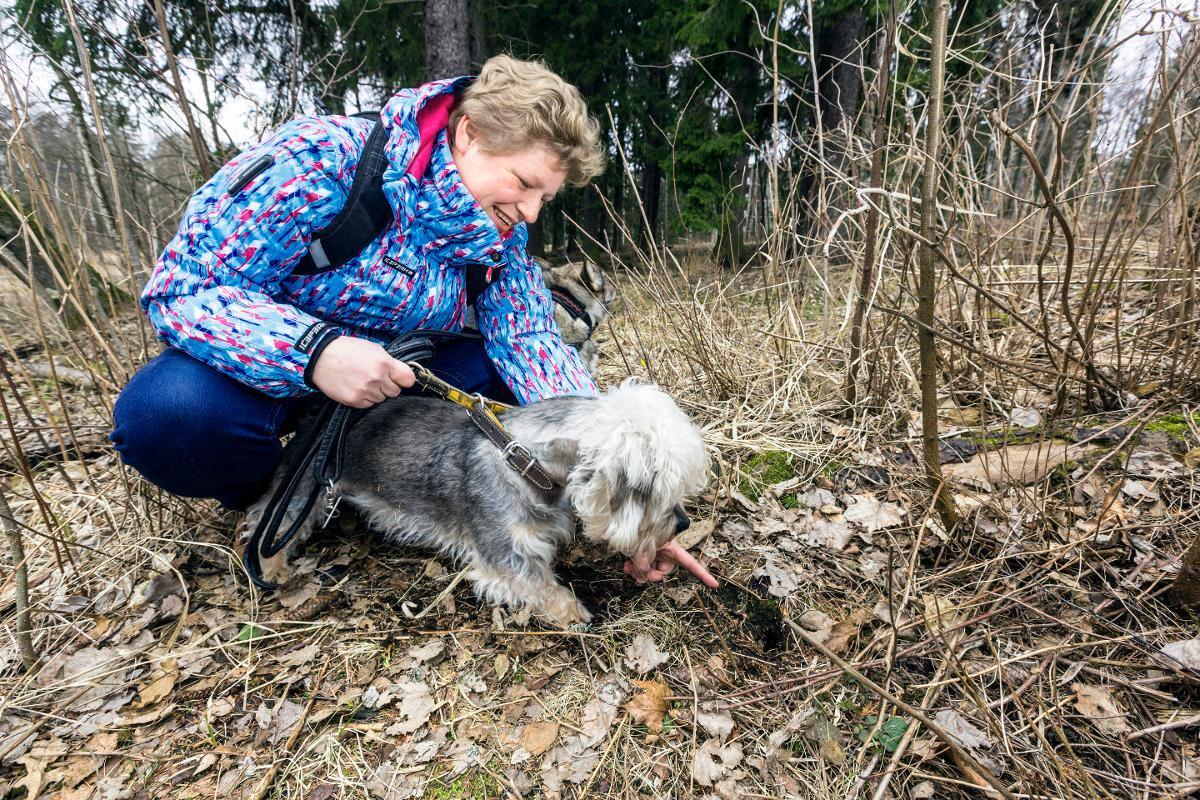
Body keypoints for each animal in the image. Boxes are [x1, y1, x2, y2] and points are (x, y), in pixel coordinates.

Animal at [246, 381, 710, 623]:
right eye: (652, 488)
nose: (683, 524)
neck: (523, 459)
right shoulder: (502, 555)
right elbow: (542, 585)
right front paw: (574, 612)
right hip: (301, 487)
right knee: (268, 522)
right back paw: (274, 568)